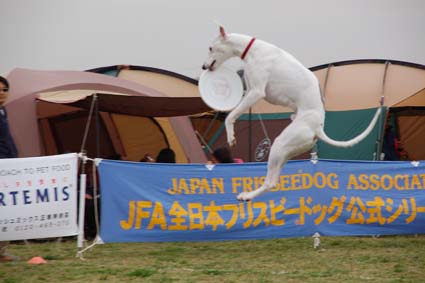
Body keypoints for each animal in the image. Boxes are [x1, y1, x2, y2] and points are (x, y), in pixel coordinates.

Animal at [202, 27, 380, 202]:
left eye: (210, 48)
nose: (203, 67)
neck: (253, 49)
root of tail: (317, 128)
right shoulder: (249, 90)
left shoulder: (256, 92)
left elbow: (231, 116)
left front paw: (231, 136)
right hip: (286, 152)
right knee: (274, 180)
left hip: (280, 144)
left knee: (270, 182)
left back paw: (247, 196)